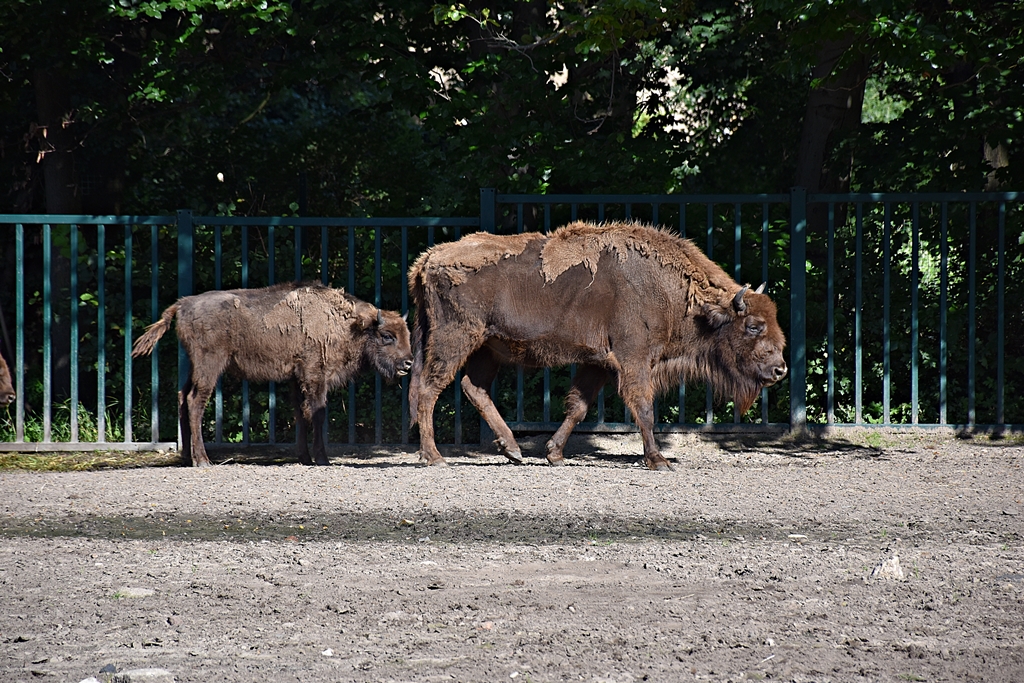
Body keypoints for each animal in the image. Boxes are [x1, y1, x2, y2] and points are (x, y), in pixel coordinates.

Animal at [132, 282, 413, 467]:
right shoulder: (314, 374)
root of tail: (182, 304)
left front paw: (305, 458)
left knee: (182, 397)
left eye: (407, 334)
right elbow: (317, 413)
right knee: (194, 401)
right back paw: (203, 460)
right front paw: (322, 459)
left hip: (194, 365)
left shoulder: (295, 378)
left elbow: (300, 414)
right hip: (209, 364)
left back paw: (186, 458)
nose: (408, 363)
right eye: (387, 336)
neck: (347, 324)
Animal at [408, 221, 787, 470]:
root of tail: (427, 259)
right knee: (429, 389)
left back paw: (513, 450)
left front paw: (554, 454)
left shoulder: (599, 364)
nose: (780, 369)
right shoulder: (633, 360)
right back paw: (434, 457)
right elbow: (643, 407)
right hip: (455, 339)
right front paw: (658, 460)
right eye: (754, 326)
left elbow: (578, 407)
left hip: (488, 348)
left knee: (474, 388)